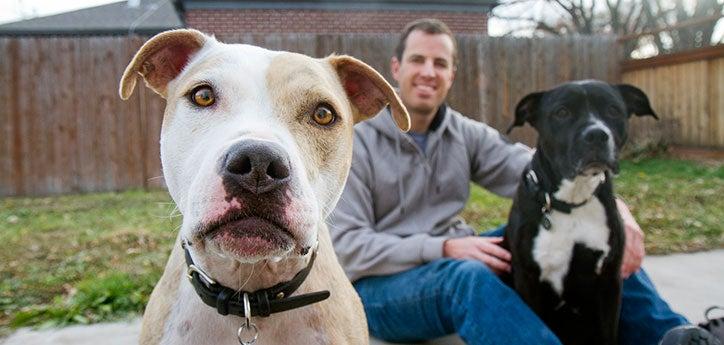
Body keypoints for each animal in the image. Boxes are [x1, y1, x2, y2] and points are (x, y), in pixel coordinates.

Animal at [504, 79, 656, 342]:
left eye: (613, 110)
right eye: (562, 112)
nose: (596, 134)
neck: (572, 200)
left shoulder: (609, 282)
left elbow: (608, 334)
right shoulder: (527, 280)